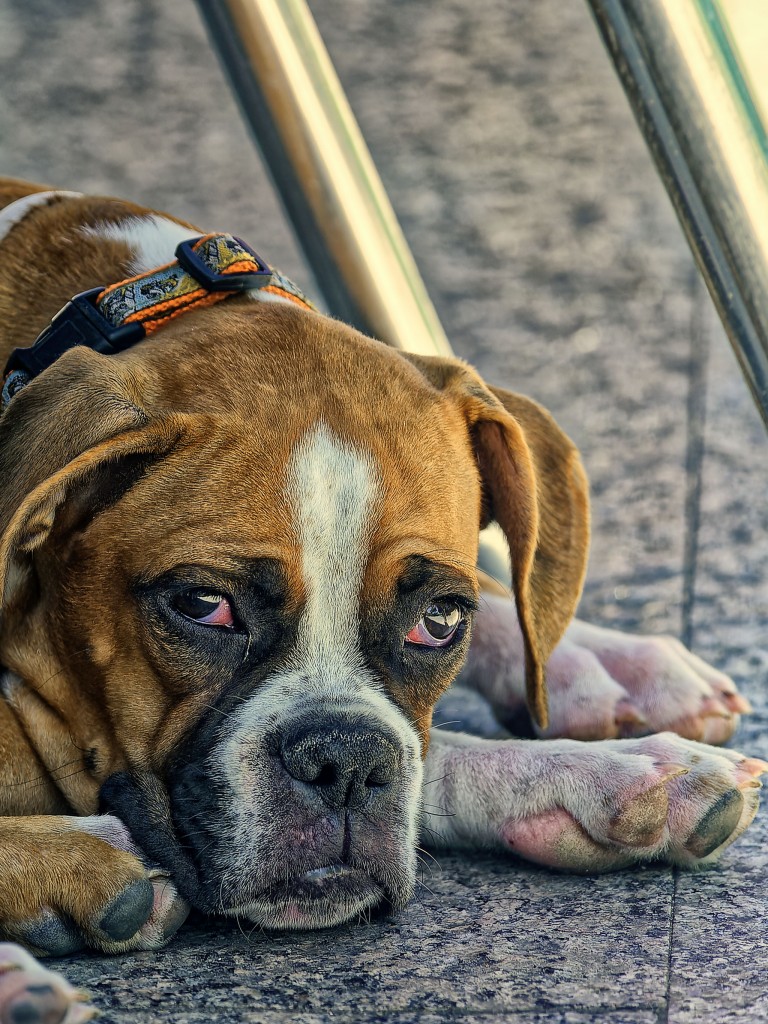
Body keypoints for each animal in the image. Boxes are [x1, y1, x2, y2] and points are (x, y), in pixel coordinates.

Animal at [0, 178, 765, 974]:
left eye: (440, 621)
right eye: (203, 606)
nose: (345, 763)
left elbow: (432, 752)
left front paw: (609, 774)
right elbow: (441, 750)